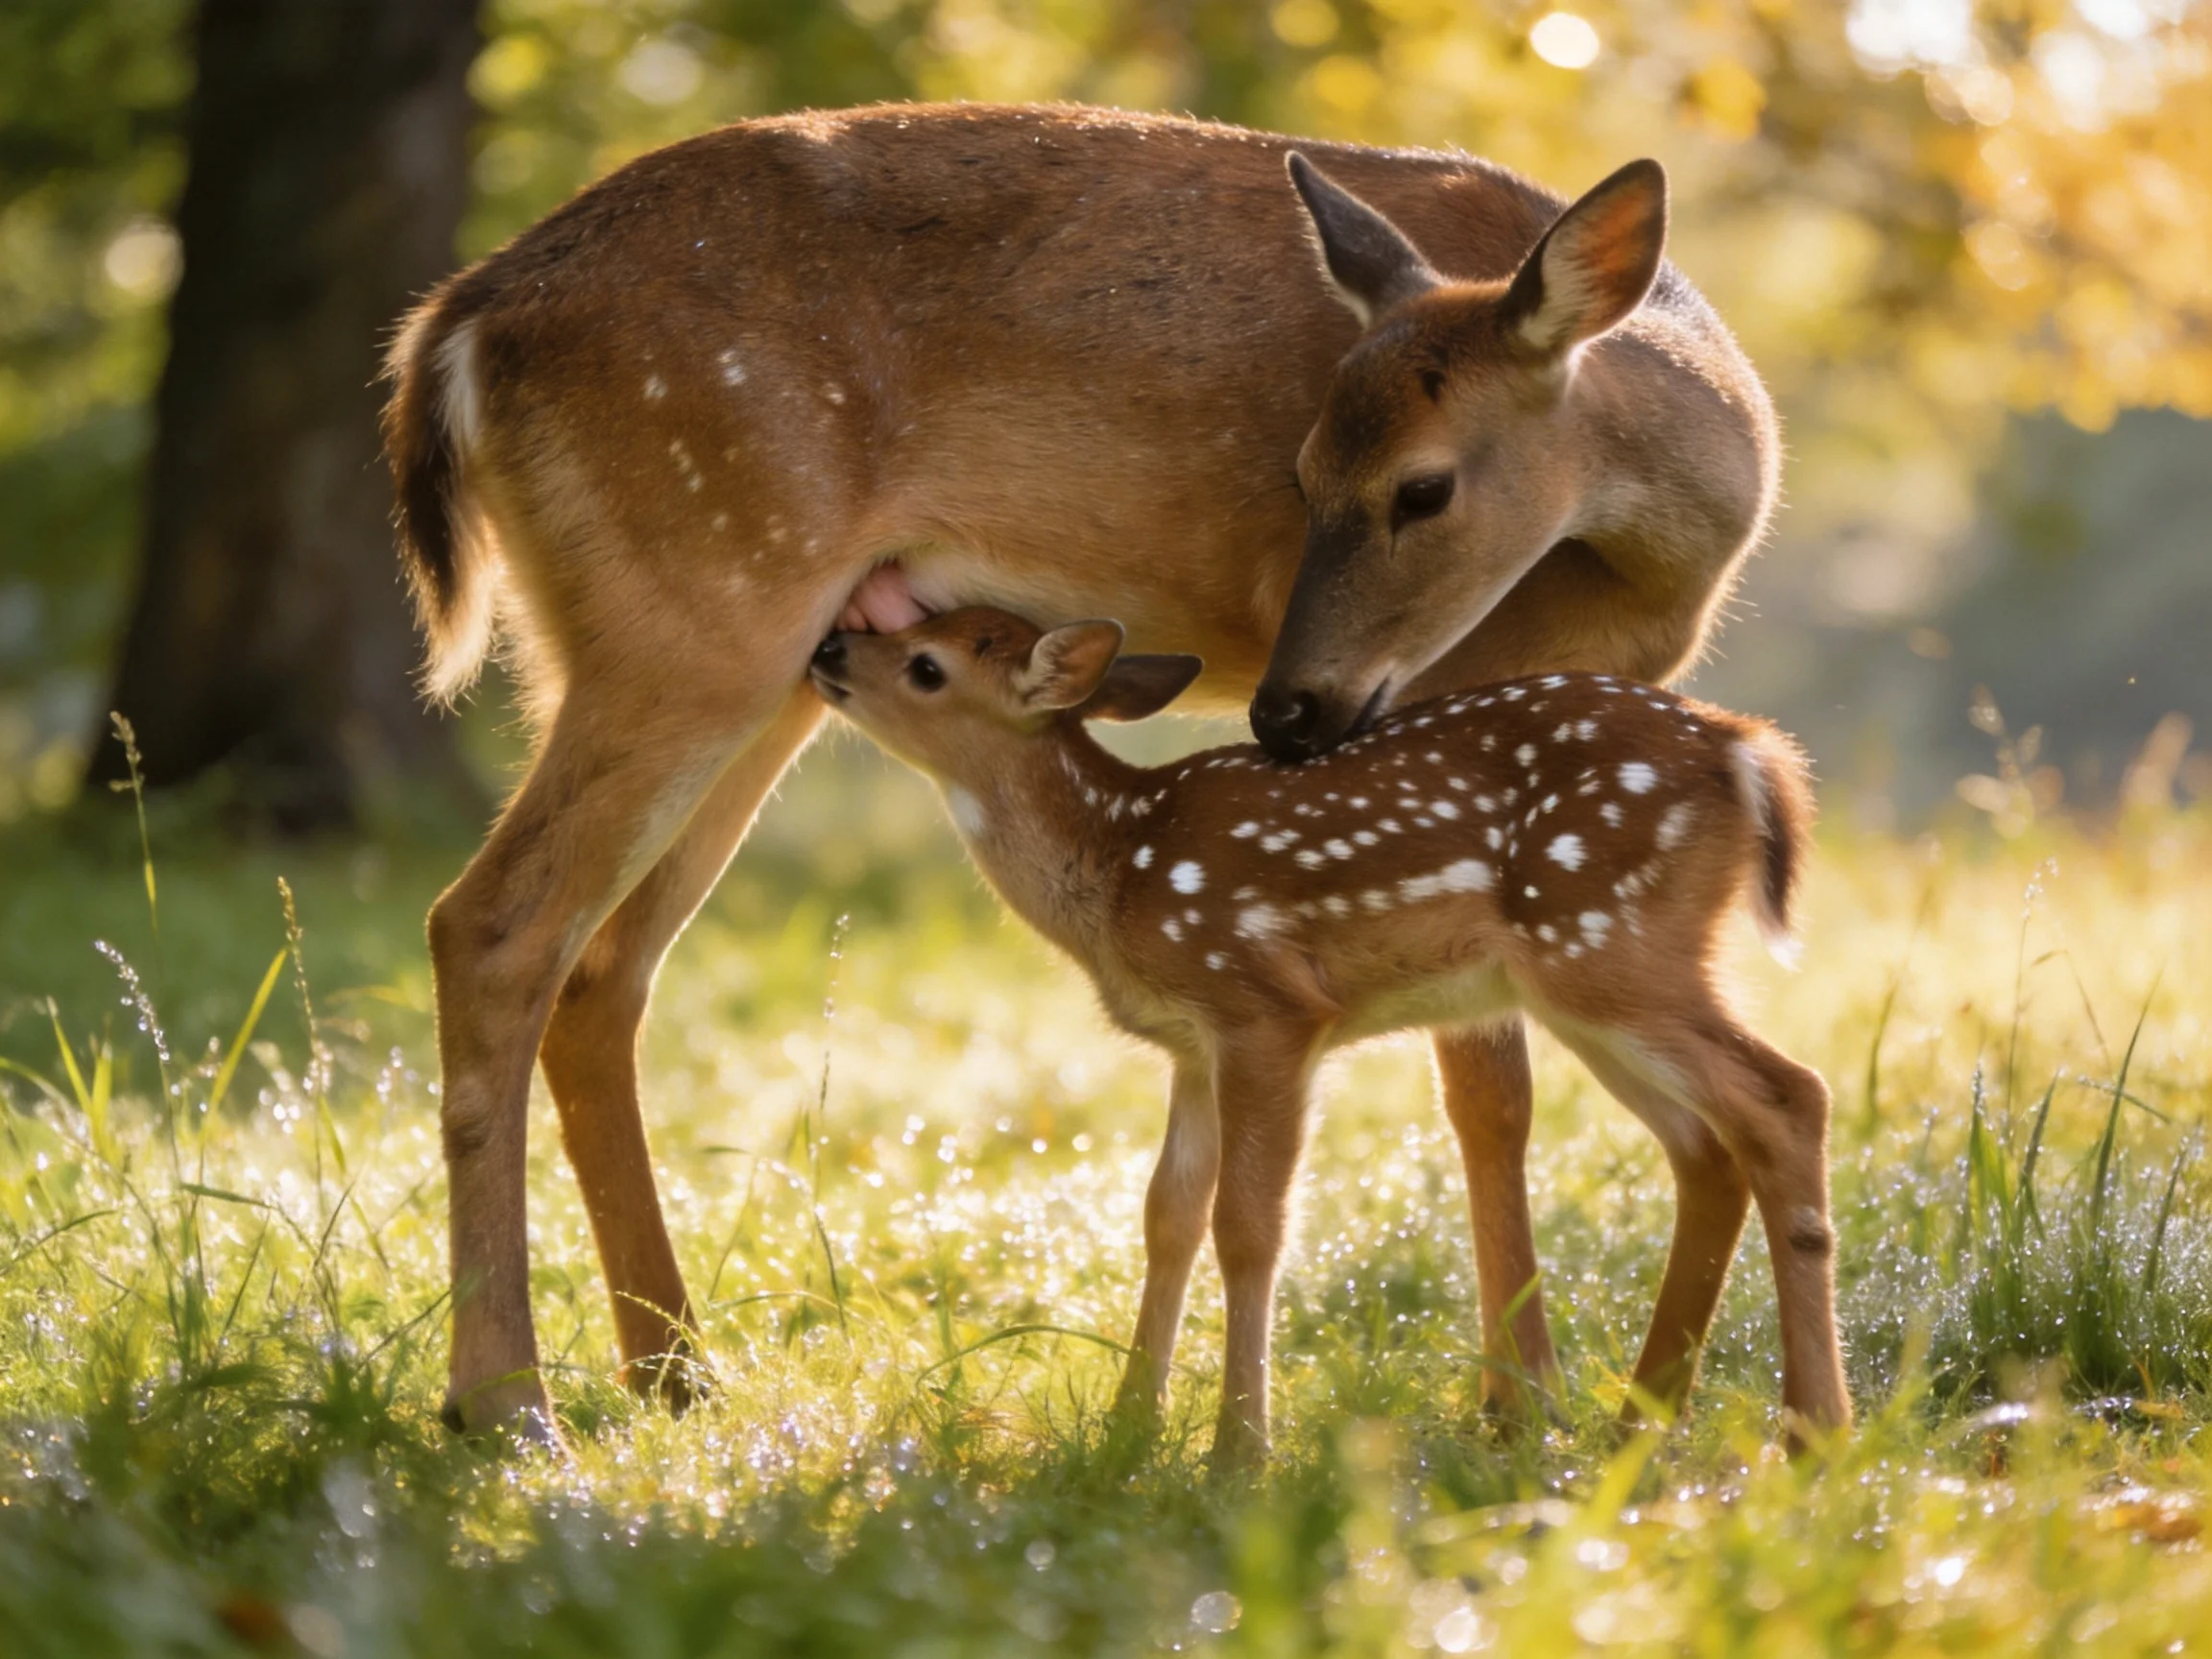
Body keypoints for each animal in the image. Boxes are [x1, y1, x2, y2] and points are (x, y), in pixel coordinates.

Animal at [806, 606, 1848, 1463]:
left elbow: (1248, 1225)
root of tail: (1749, 753)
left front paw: (1237, 1454)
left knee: (1788, 1094)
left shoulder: (1265, 1008)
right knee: (1708, 1147)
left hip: (1606, 940)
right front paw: (1128, 1428)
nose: (828, 649)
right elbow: (1167, 1215)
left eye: (927, 665)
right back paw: (1639, 1424)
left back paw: (1812, 1434)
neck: (1119, 863)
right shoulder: (1193, 1045)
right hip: (1592, 980)